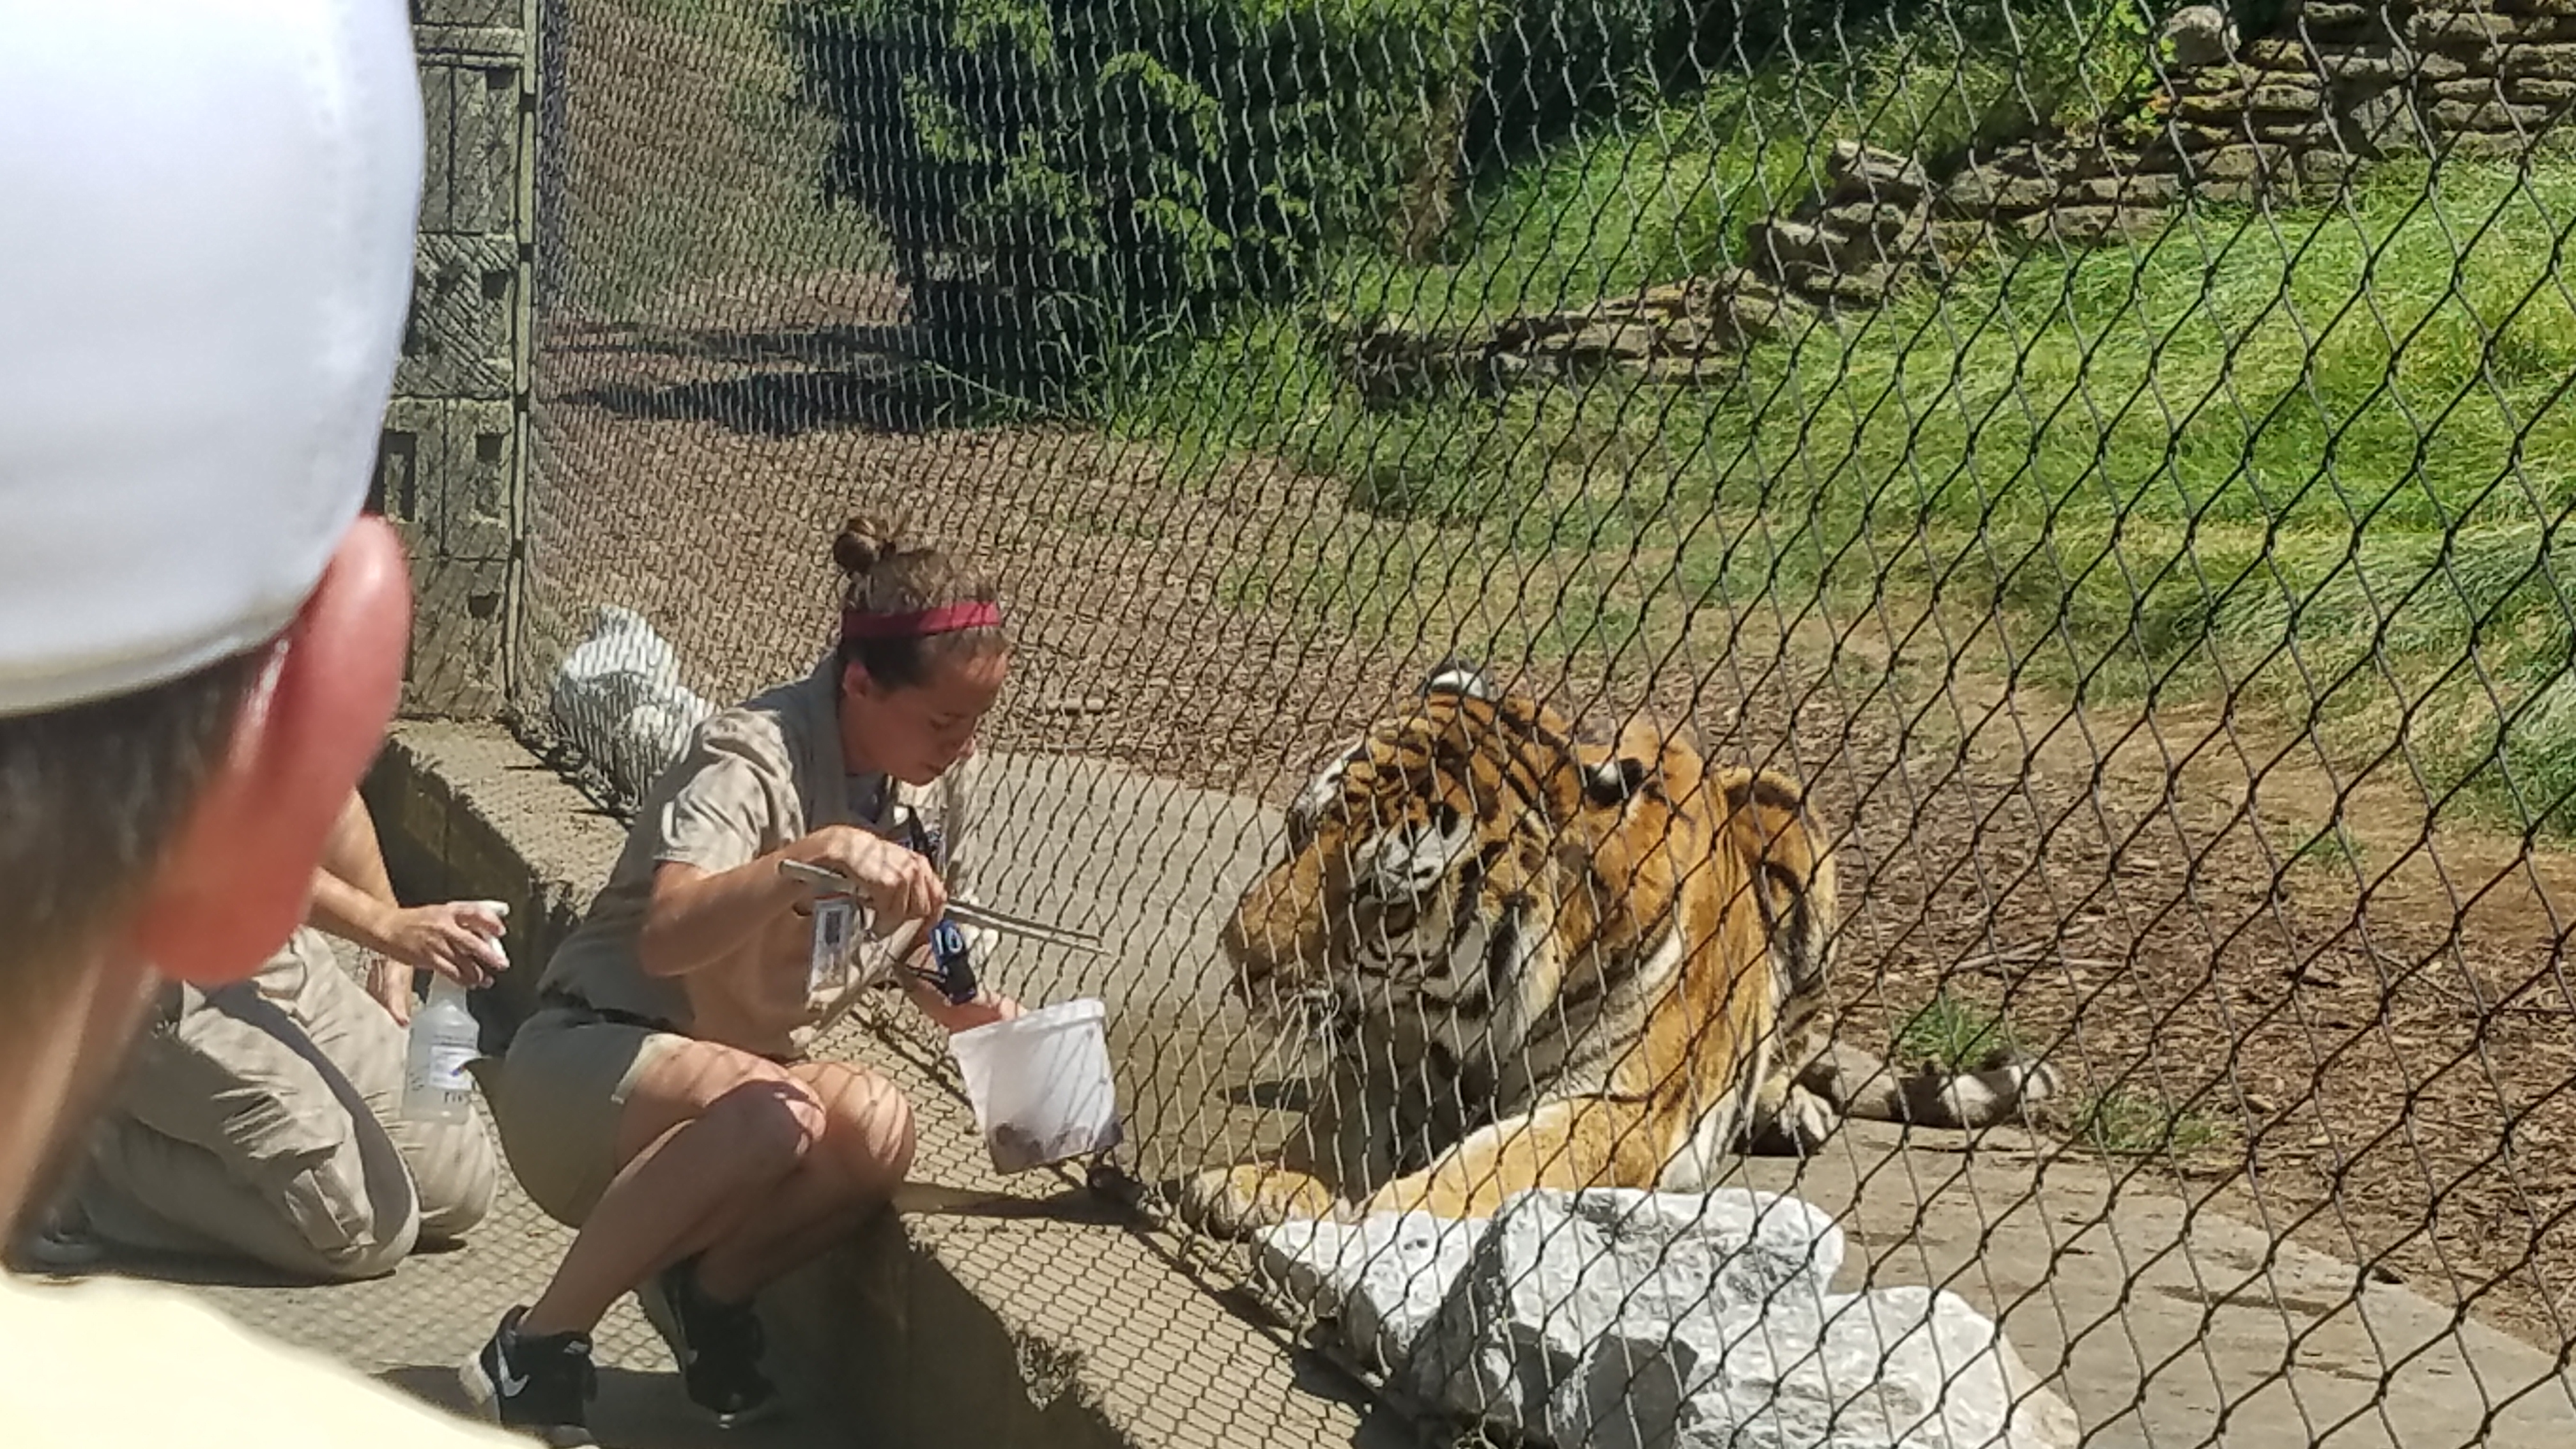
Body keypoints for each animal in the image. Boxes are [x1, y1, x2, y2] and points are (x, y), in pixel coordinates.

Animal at [1176, 665, 2058, 1237]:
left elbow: (1491, 1166)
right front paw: (1264, 1184)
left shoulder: (1618, 1105)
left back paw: (1791, 1107)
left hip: (1790, 820)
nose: (1237, 958)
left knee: (1791, 1050)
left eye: (1382, 897)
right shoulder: (1378, 1059)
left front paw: (1378, 1223)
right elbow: (1337, 1130)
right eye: (1297, 831)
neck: (1468, 1009)